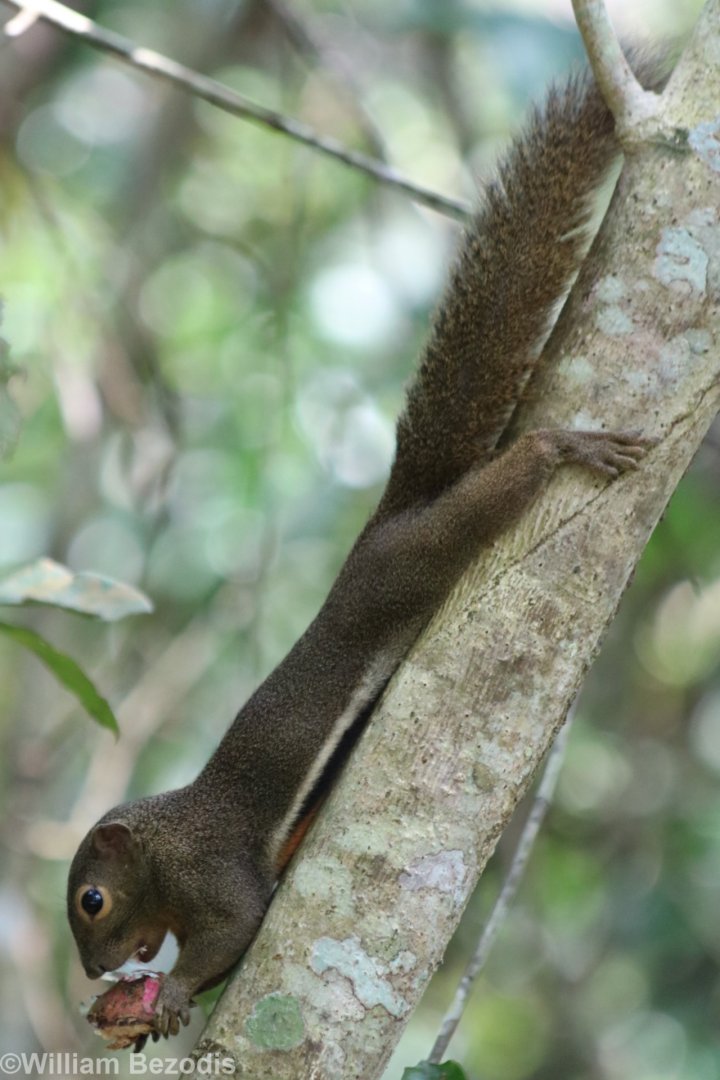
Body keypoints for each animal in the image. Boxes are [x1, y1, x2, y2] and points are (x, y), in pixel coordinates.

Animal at [67, 55, 662, 1042]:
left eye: (92, 902)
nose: (93, 972)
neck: (166, 841)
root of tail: (385, 520)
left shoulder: (211, 874)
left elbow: (237, 926)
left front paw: (176, 994)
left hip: (412, 556)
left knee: (487, 499)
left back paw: (560, 447)